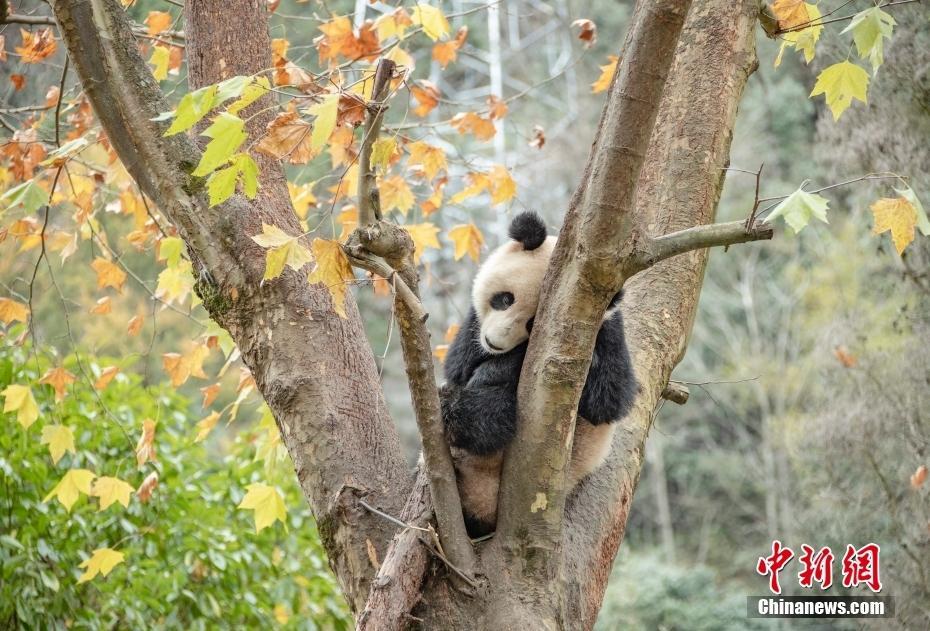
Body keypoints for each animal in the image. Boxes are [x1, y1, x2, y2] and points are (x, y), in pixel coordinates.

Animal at [438, 212, 636, 540]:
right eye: (505, 299)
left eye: (532, 324)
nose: (494, 342)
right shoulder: (472, 328)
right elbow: (458, 366)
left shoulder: (606, 333)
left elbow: (607, 401)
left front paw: (505, 364)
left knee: (491, 418)